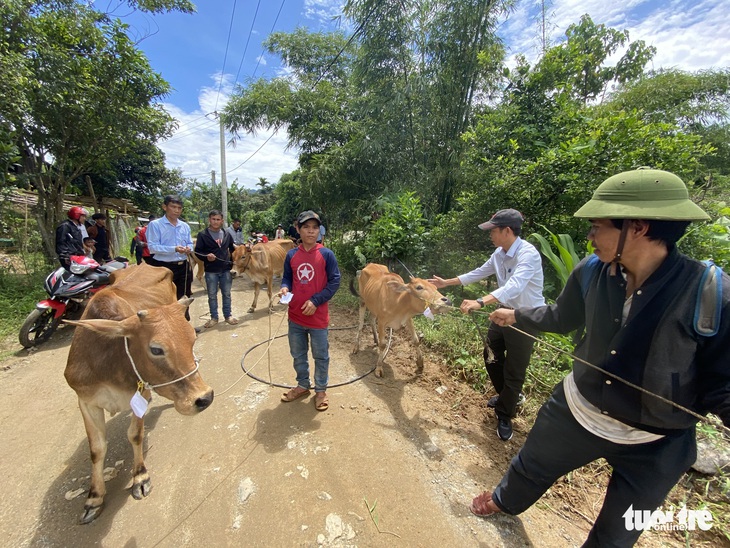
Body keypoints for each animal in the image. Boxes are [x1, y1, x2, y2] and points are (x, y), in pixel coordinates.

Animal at [63, 264, 212, 524]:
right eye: (156, 349)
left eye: (192, 340)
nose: (204, 397)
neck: (108, 358)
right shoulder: (85, 401)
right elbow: (96, 449)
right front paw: (94, 497)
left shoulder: (141, 393)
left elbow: (135, 435)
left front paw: (140, 477)